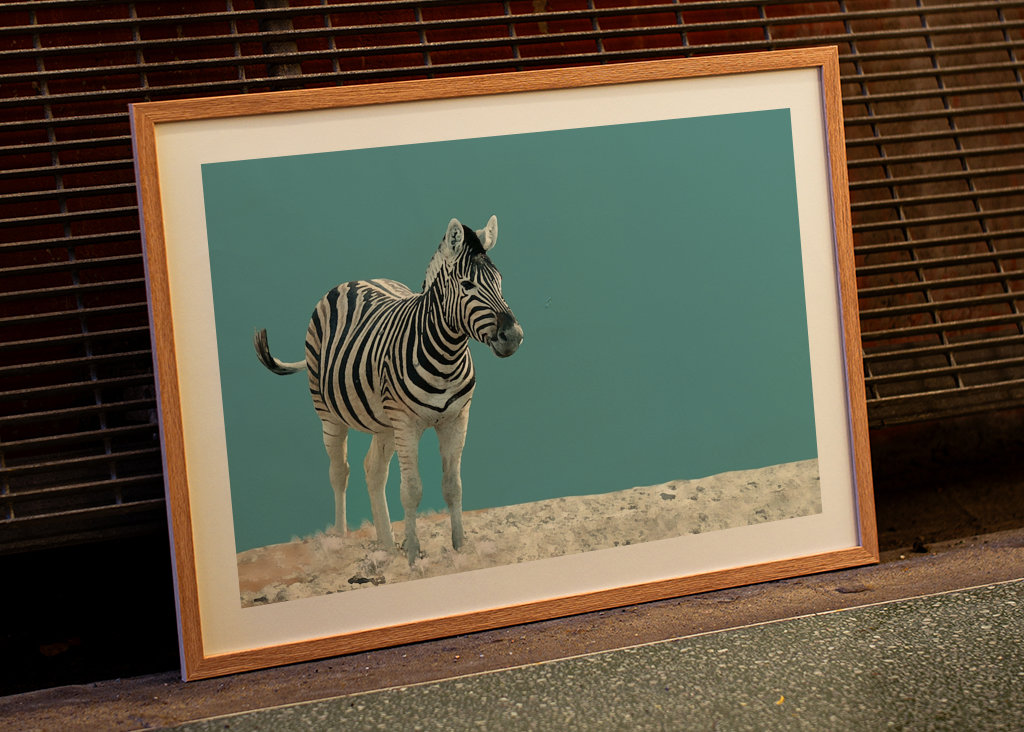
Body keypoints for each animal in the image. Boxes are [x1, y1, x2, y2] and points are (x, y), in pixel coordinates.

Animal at [254, 216, 523, 565]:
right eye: (467, 286)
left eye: (499, 281)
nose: (513, 336)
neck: (447, 355)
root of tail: (356, 279)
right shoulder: (407, 424)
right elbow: (411, 490)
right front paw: (413, 558)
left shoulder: (456, 419)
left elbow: (453, 487)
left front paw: (459, 549)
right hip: (330, 414)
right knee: (339, 471)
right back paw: (341, 539)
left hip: (383, 422)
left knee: (373, 470)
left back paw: (386, 545)